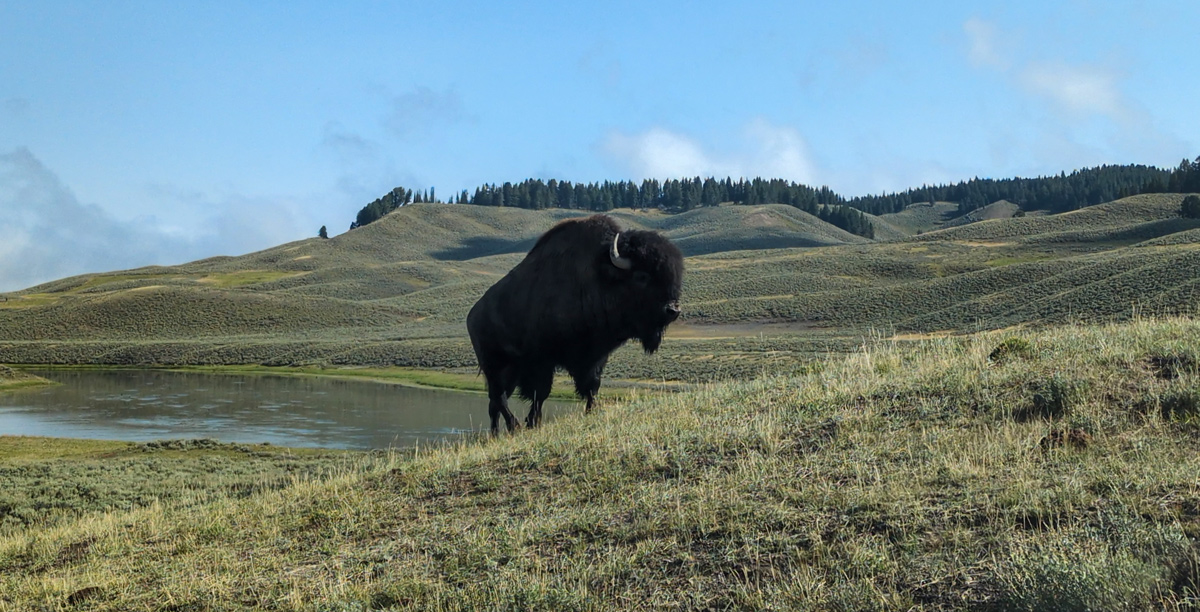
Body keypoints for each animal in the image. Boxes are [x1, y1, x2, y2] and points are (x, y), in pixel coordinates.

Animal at [466, 214, 684, 433]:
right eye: (642, 276)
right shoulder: (542, 360)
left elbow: (592, 386)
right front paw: (533, 422)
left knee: (494, 404)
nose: (672, 310)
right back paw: (514, 426)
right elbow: (541, 393)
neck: (600, 278)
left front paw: (591, 411)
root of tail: (472, 316)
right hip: (493, 366)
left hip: (509, 372)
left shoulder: (594, 358)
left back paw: (497, 433)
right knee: (499, 398)